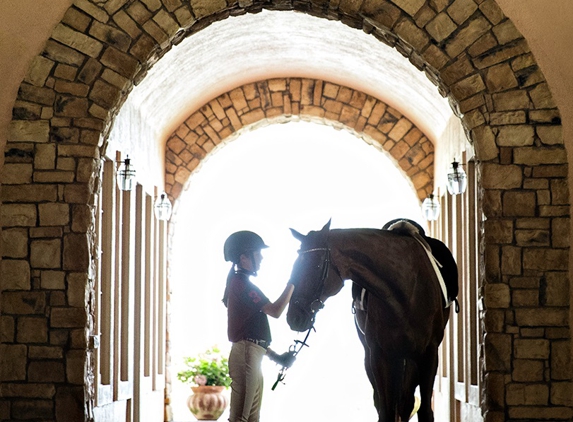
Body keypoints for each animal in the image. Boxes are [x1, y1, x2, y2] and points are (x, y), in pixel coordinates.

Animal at [286, 221, 456, 422]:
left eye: (317, 265)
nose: (293, 317)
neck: (405, 293)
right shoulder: (379, 356)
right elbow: (386, 412)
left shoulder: (428, 355)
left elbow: (424, 412)